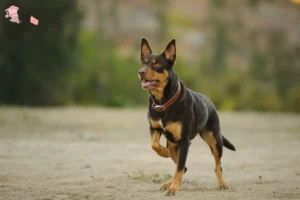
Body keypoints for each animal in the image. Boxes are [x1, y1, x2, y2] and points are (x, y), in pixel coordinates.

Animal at [138, 37, 237, 195]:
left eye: (156, 64)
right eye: (144, 62)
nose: (140, 72)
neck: (163, 101)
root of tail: (209, 101)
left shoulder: (185, 141)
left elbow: (179, 167)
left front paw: (173, 189)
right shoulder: (154, 128)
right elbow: (154, 145)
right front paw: (163, 153)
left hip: (215, 140)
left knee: (217, 165)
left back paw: (222, 183)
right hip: (174, 144)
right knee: (183, 166)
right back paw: (169, 181)